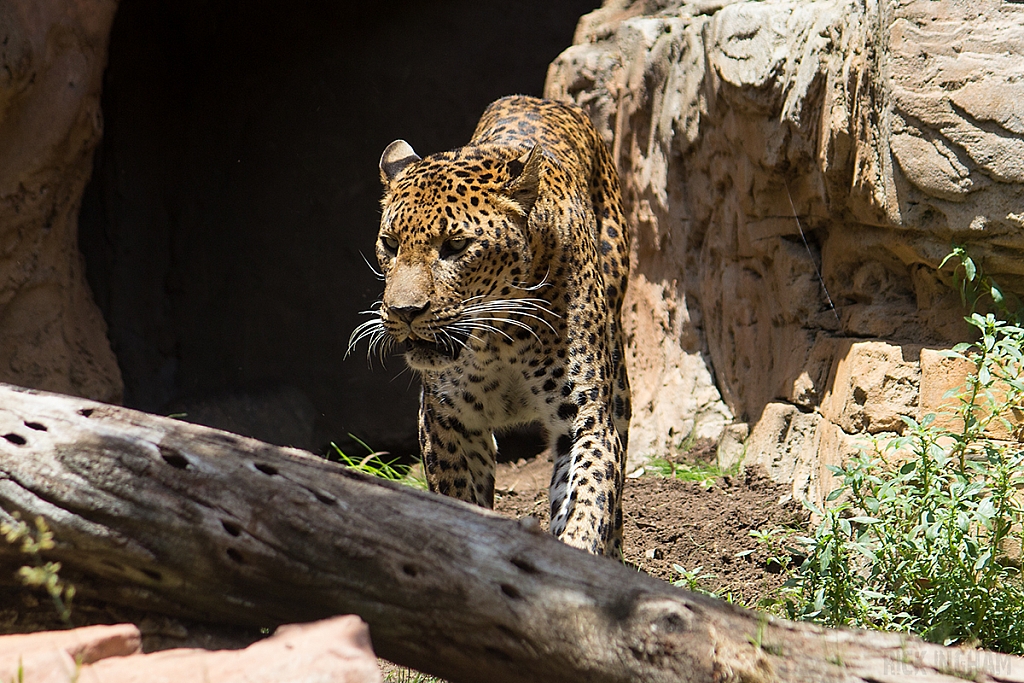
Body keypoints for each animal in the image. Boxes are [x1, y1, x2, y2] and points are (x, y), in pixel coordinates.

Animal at [348, 96, 626, 557]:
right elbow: (460, 498)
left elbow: (590, 497)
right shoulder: (444, 419)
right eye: (390, 243)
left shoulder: (585, 416)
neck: (500, 337)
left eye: (456, 246)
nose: (404, 311)